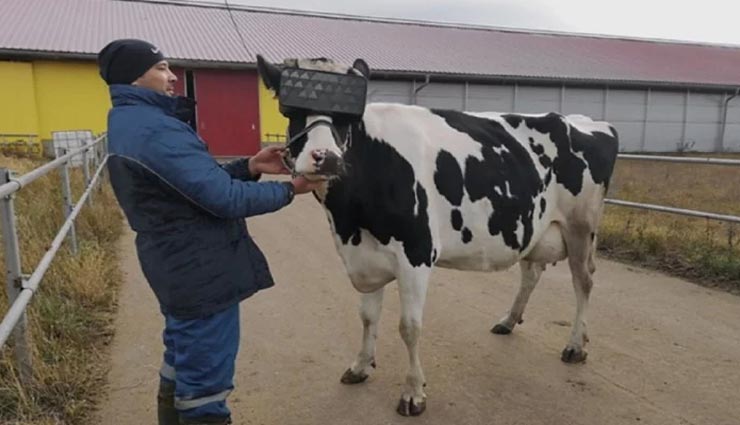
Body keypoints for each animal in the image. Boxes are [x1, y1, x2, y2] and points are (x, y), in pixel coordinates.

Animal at [257, 55, 619, 416]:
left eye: (350, 116)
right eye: (290, 110)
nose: (326, 158)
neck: (350, 221)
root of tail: (588, 121)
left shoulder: (416, 253)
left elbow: (409, 327)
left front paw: (413, 393)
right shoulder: (365, 257)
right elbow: (367, 317)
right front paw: (360, 366)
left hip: (581, 227)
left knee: (584, 281)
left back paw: (575, 346)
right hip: (534, 226)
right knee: (532, 272)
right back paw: (508, 320)